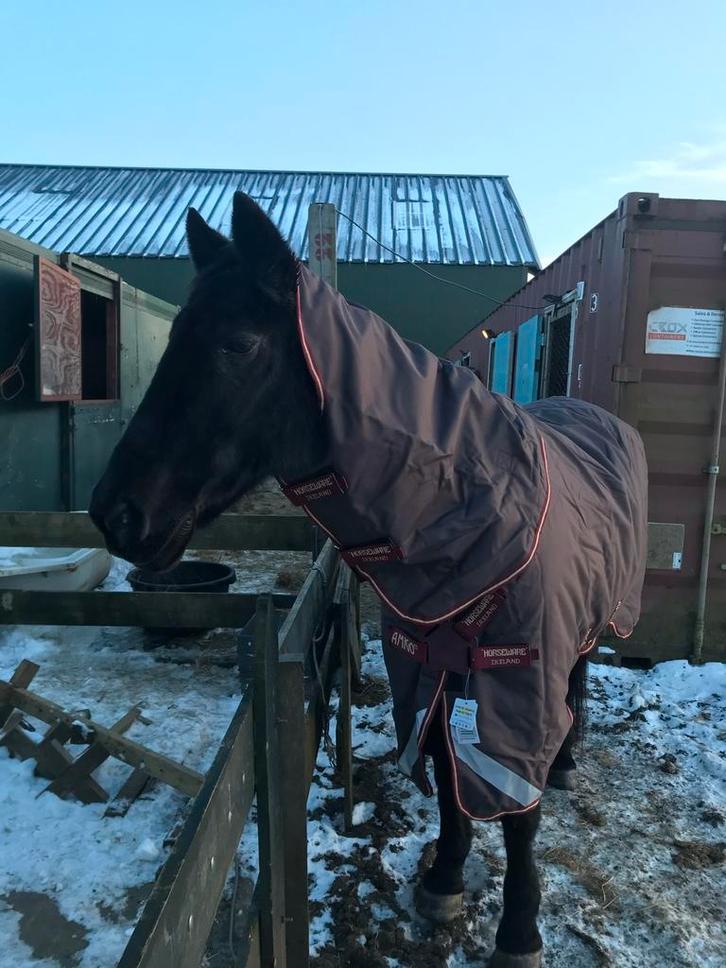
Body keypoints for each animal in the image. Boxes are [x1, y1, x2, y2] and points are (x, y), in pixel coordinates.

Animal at [90, 192, 648, 967]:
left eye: (238, 344)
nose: (114, 513)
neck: (471, 516)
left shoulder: (521, 676)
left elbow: (518, 813)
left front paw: (518, 931)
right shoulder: (424, 663)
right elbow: (443, 768)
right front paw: (444, 878)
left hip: (589, 620)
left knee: (579, 683)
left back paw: (566, 759)